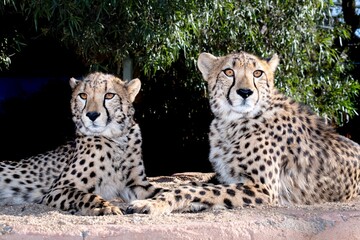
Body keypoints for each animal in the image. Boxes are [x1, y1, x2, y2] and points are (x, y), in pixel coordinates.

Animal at [0, 71, 159, 216]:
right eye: (83, 96)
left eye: (109, 95)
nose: (92, 115)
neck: (117, 139)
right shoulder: (56, 189)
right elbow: (85, 195)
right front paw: (105, 207)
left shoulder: (137, 185)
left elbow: (166, 192)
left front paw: (147, 204)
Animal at [126, 51, 360, 215]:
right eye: (228, 72)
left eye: (258, 73)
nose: (245, 92)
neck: (231, 122)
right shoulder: (224, 177)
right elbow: (192, 185)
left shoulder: (262, 188)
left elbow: (196, 189)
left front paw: (152, 203)